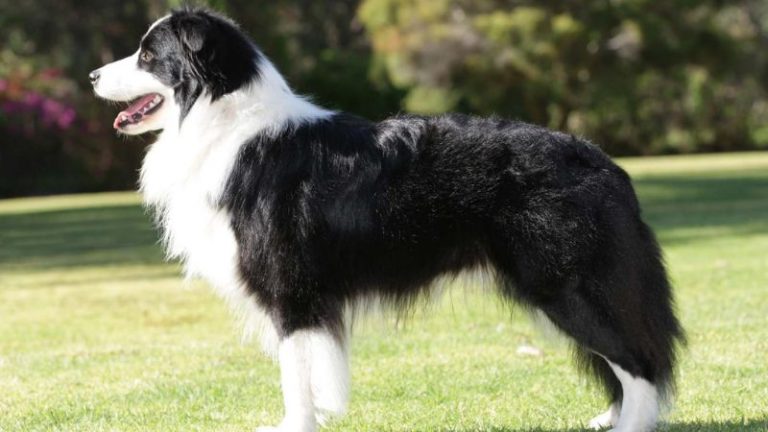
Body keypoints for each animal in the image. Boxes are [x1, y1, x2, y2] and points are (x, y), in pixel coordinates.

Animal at [90, 8, 683, 432]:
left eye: (147, 54)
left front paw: (294, 425)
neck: (223, 118)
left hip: (566, 284)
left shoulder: (291, 290)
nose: (93, 74)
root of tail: (603, 161)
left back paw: (631, 424)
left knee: (639, 360)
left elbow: (294, 373)